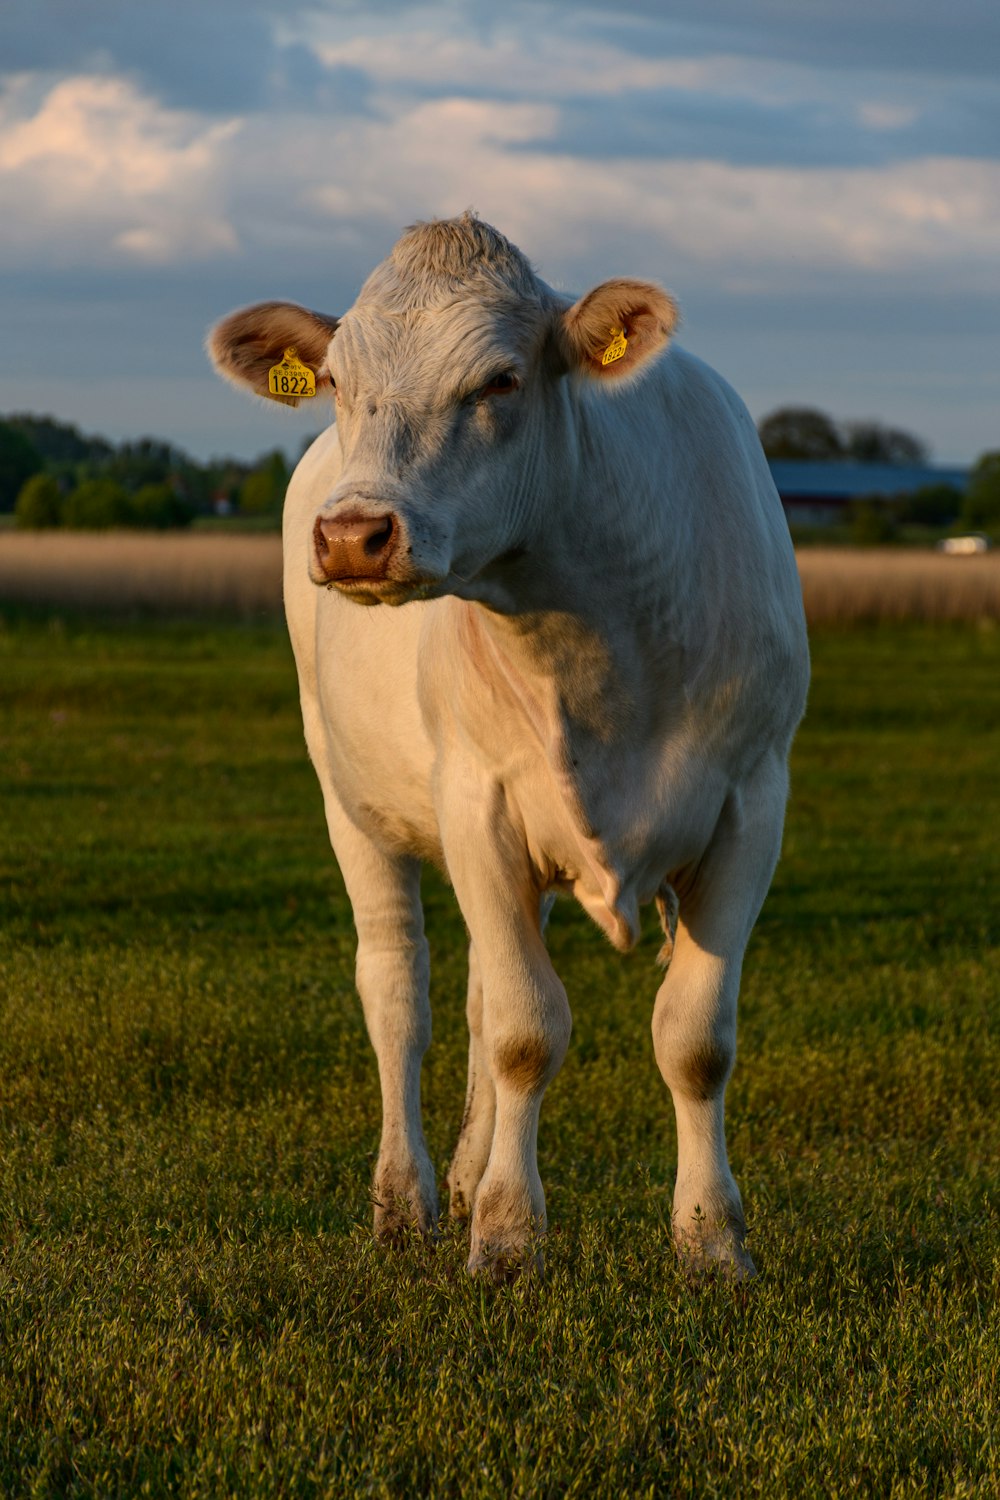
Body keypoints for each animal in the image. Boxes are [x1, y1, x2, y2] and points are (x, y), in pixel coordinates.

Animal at [206, 217, 809, 1284]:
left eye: (498, 381)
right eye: (336, 380)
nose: (352, 534)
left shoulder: (753, 802)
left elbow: (693, 1038)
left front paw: (710, 1242)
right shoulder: (476, 800)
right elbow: (529, 1034)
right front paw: (508, 1235)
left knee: (485, 998)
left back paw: (465, 1173)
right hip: (350, 798)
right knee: (400, 993)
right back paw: (407, 1201)